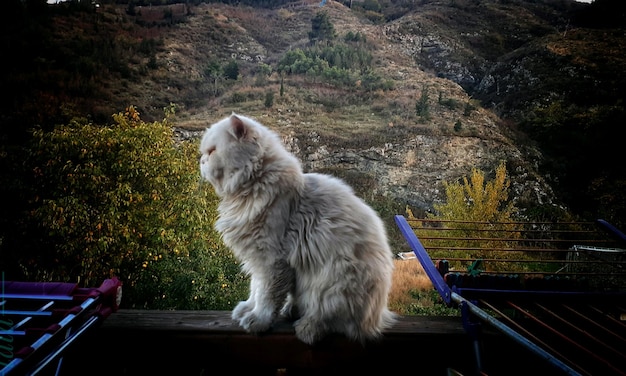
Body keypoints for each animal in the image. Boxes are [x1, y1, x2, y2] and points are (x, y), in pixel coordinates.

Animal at [199, 113, 394, 346]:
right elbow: (255, 289)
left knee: (331, 320)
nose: (201, 161)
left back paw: (306, 327)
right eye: (205, 152)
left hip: (333, 282)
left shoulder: (271, 260)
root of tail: (377, 317)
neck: (251, 188)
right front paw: (247, 309)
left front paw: (258, 320)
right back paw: (291, 310)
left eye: (212, 151)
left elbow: (265, 296)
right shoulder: (257, 259)